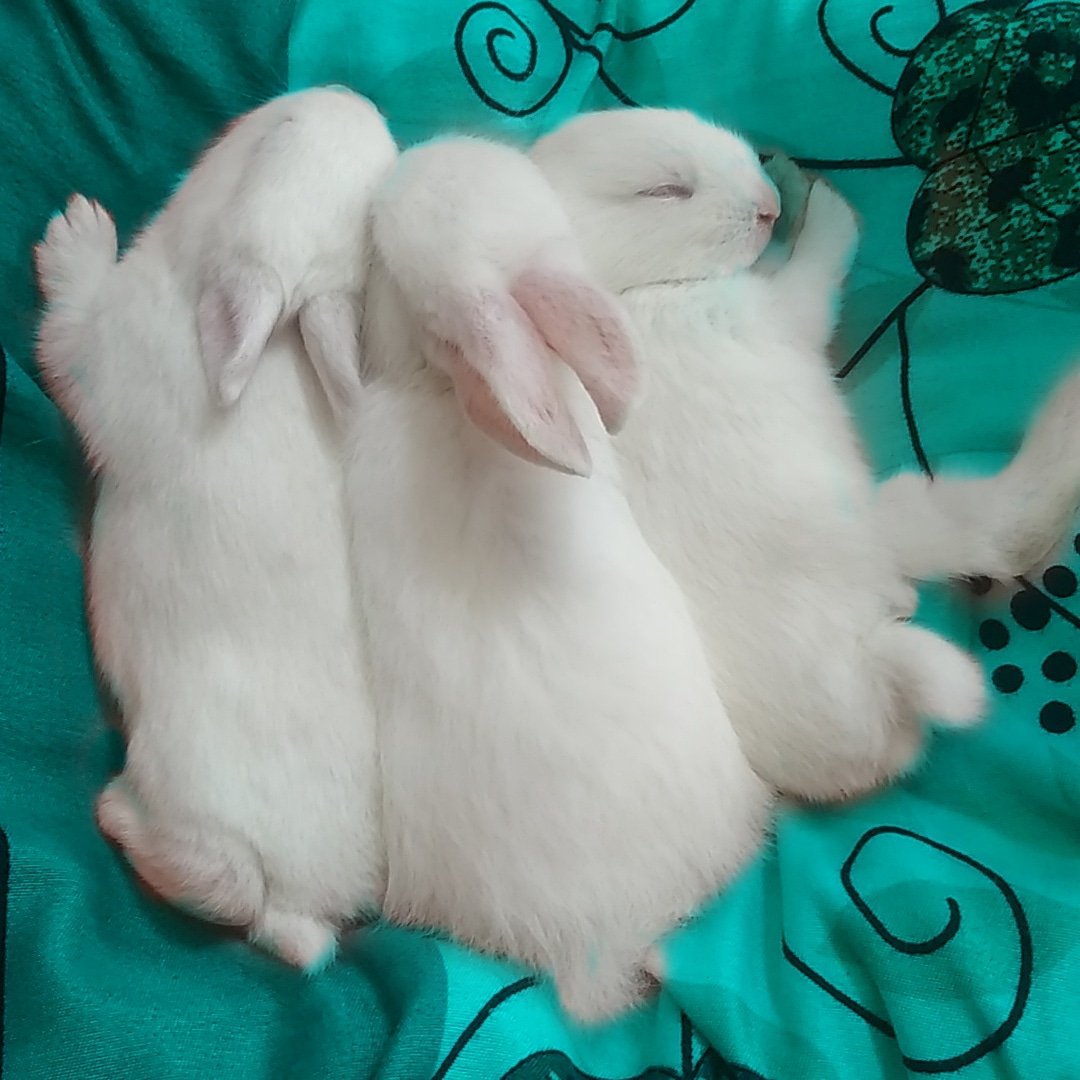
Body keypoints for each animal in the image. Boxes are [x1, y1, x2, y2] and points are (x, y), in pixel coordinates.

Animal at [33, 86, 398, 970]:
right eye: (284, 132)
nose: (351, 92)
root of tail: (308, 900)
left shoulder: (102, 345)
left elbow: (66, 331)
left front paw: (77, 233)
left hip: (198, 813)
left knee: (218, 881)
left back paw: (113, 812)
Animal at [531, 108, 988, 803]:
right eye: (664, 190)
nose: (768, 205)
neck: (634, 291)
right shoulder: (783, 309)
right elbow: (820, 259)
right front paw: (826, 201)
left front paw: (793, 177)